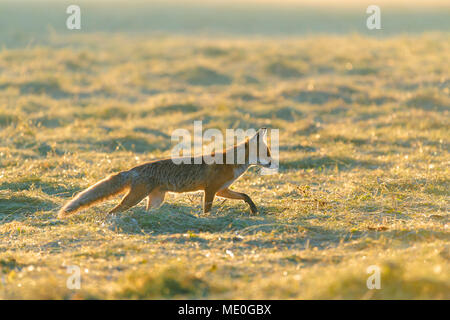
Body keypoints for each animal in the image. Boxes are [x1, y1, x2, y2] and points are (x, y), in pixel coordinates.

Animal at [58, 129, 272, 219]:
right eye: (267, 153)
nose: (272, 163)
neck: (232, 163)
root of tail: (133, 170)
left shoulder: (221, 189)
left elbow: (245, 195)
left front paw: (254, 210)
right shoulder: (210, 189)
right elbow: (207, 209)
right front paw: (207, 220)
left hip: (155, 200)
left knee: (145, 211)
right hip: (134, 198)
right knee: (113, 211)